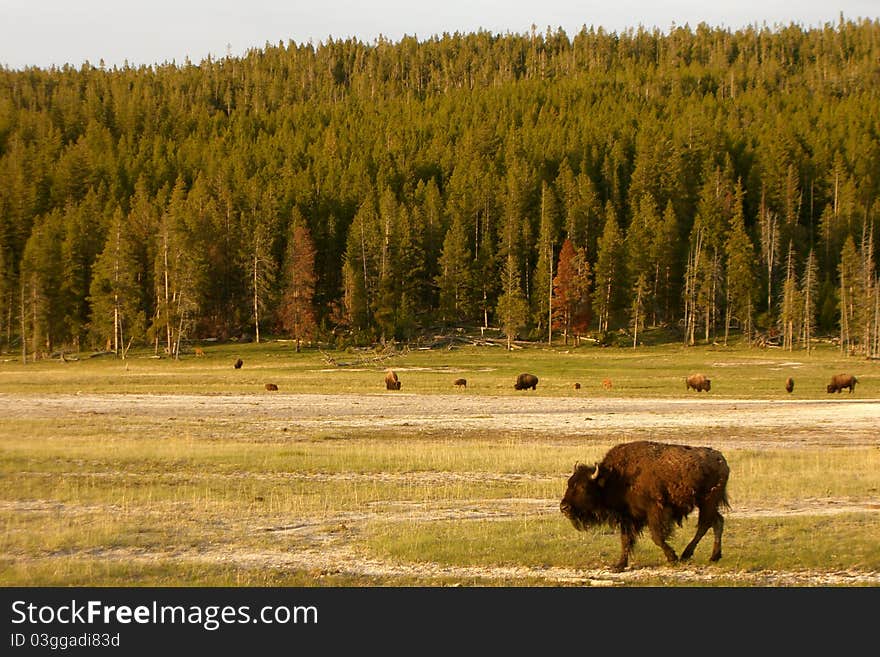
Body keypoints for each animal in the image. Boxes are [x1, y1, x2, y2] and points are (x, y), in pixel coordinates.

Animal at [560, 438, 732, 572]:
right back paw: (713, 556)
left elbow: (657, 537)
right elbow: (626, 540)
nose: (564, 507)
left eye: (583, 487)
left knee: (705, 524)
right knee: (717, 521)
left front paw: (672, 557)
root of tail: (722, 460)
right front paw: (619, 566)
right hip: (708, 504)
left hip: (707, 502)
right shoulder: (627, 517)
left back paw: (686, 555)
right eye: (569, 483)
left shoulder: (655, 512)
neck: (615, 477)